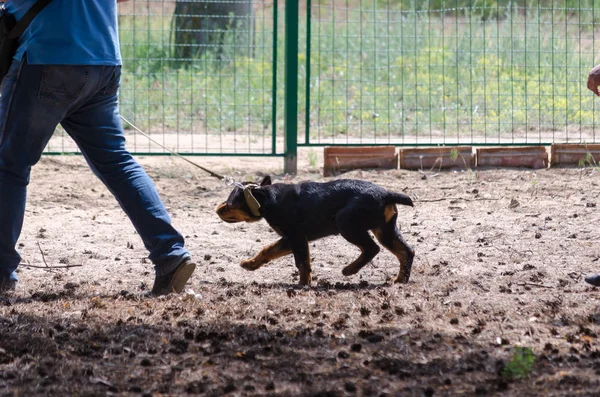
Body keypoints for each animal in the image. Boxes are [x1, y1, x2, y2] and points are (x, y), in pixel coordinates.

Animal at [217, 176, 418, 284]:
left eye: (229, 204)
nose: (217, 209)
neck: (267, 198)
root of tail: (386, 194)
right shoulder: (290, 239)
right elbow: (268, 250)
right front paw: (250, 264)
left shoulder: (297, 237)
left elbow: (302, 263)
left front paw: (303, 284)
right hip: (385, 230)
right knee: (406, 252)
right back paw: (400, 280)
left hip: (346, 223)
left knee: (372, 248)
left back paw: (349, 270)